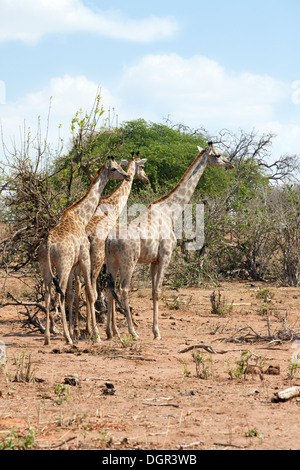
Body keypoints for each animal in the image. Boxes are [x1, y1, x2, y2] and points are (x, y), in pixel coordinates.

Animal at [38, 158, 130, 346]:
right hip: (63, 266)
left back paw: (48, 338)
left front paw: (80, 331)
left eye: (120, 166)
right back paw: (67, 338)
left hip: (46, 268)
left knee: (49, 294)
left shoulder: (75, 265)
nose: (127, 176)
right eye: (114, 168)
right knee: (60, 294)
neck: (81, 216)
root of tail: (49, 244)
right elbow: (90, 293)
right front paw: (96, 335)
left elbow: (75, 294)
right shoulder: (85, 258)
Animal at [73, 152, 149, 336]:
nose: (147, 179)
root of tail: (87, 235)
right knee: (90, 290)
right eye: (142, 166)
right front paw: (113, 331)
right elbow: (111, 290)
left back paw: (77, 329)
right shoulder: (110, 260)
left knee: (77, 287)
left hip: (79, 263)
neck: (114, 204)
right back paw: (92, 331)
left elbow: (109, 289)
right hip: (96, 260)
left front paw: (112, 329)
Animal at [105, 141, 234, 340]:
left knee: (109, 289)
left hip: (112, 261)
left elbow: (153, 290)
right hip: (129, 261)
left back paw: (110, 333)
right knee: (124, 290)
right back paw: (133, 333)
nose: (230, 164)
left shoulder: (153, 260)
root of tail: (109, 240)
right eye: (218, 155)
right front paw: (157, 333)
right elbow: (158, 291)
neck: (171, 211)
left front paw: (154, 330)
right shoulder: (166, 256)